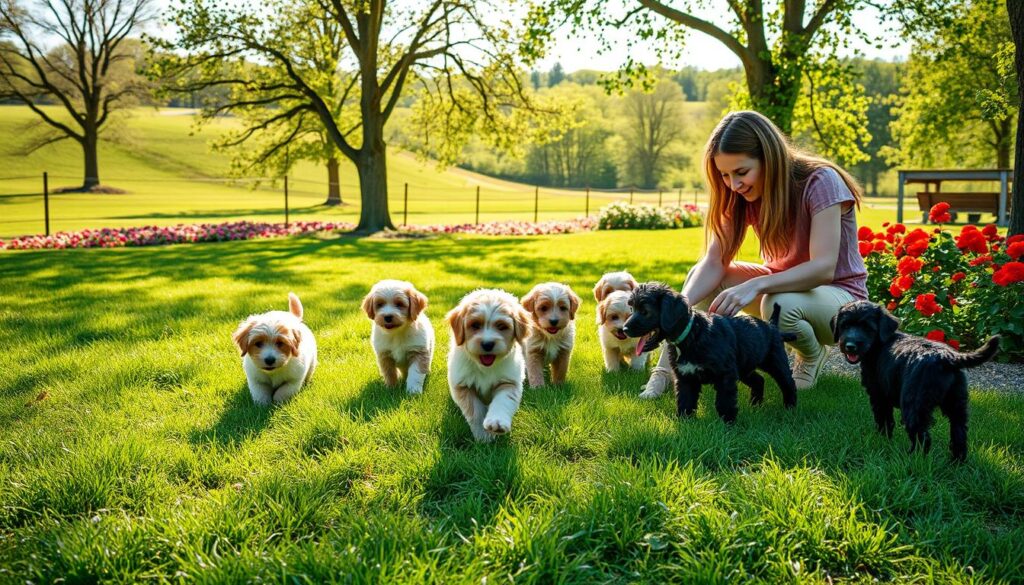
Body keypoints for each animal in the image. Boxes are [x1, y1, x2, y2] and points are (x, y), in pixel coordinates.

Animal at [446, 288, 532, 444]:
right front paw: (483, 435)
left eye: (502, 326)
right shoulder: (463, 386)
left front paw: (496, 423)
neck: (485, 367)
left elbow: (503, 401)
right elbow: (475, 411)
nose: (487, 344)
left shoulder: (509, 382)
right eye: (475, 325)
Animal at [618, 282, 794, 424]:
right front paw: (685, 422)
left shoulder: (725, 375)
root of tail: (772, 326)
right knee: (759, 380)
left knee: (788, 383)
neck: (692, 335)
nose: (624, 330)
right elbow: (685, 400)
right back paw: (756, 405)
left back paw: (790, 408)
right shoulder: (685, 377)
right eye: (632, 308)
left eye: (645, 311)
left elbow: (725, 401)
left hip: (776, 363)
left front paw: (727, 424)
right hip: (744, 368)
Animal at [831, 301, 999, 463]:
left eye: (867, 328)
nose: (850, 346)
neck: (880, 344)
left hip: (913, 405)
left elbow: (883, 419)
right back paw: (956, 462)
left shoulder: (879, 395)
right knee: (959, 433)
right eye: (844, 326)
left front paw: (882, 438)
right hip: (957, 403)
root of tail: (947, 357)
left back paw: (912, 458)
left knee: (922, 437)